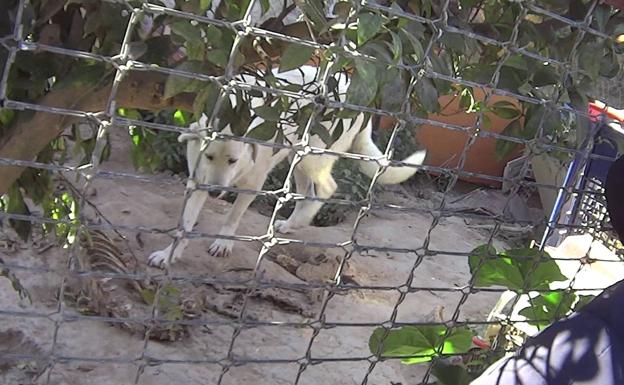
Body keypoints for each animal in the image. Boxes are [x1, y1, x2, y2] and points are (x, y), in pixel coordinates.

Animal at [149, 64, 426, 266]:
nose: (215, 191)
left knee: (327, 188)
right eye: (208, 157)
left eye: (232, 160)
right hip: (298, 158)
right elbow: (185, 224)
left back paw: (301, 220)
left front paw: (223, 243)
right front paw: (169, 254)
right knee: (307, 191)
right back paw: (292, 224)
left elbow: (233, 216)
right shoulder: (198, 181)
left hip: (314, 155)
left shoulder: (253, 184)